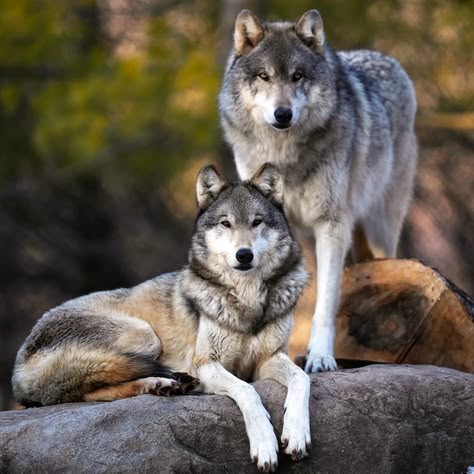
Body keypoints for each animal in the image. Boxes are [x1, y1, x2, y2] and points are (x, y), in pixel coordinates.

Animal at [12, 163, 312, 470]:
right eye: (225, 224)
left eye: (257, 222)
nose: (244, 255)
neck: (247, 300)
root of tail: (18, 369)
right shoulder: (206, 365)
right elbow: (248, 393)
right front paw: (264, 446)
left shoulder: (267, 359)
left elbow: (302, 378)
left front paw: (296, 434)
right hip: (144, 335)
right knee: (87, 391)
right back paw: (163, 383)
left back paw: (164, 385)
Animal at [219, 9, 418, 374]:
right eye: (264, 76)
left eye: (297, 76)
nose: (283, 114)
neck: (283, 159)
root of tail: (388, 59)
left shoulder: (331, 224)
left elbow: (325, 302)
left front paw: (321, 357)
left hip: (381, 226)